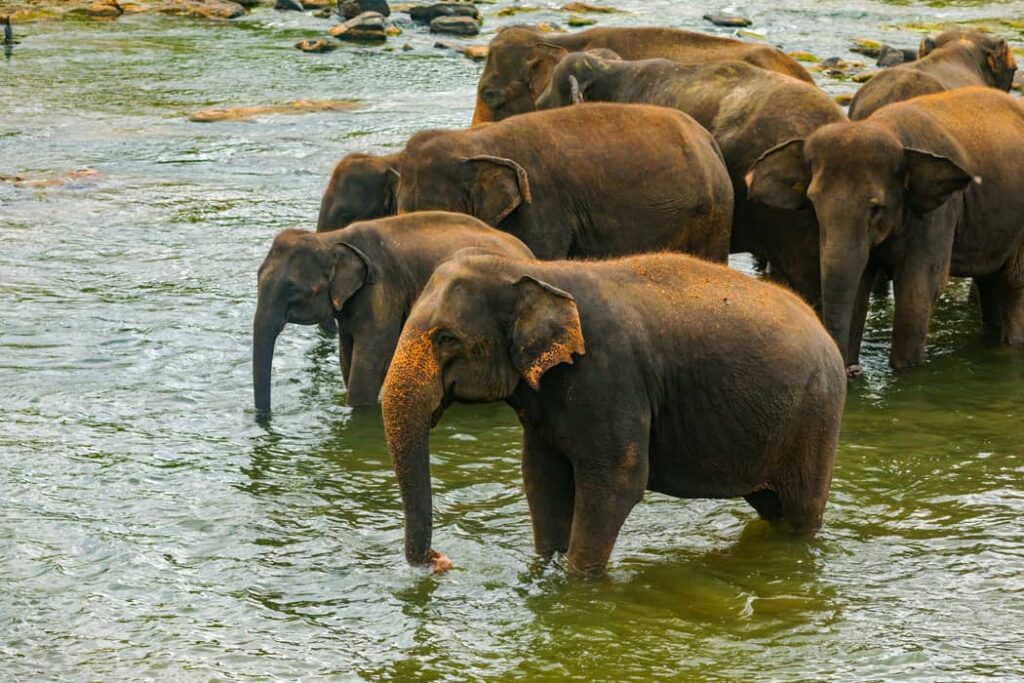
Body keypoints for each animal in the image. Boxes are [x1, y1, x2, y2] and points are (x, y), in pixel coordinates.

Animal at [253, 211, 534, 416]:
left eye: (292, 288)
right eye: (257, 277)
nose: (265, 417)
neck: (331, 239)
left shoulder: (381, 291)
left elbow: (369, 361)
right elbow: (347, 355)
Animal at [381, 251, 846, 575]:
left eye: (446, 338)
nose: (440, 560)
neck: (535, 270)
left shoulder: (610, 376)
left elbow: (616, 483)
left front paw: (579, 585)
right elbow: (542, 479)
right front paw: (546, 569)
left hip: (816, 416)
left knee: (801, 510)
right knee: (772, 505)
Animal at [747, 87, 1024, 375]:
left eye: (876, 208)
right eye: (813, 203)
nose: (852, 371)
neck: (890, 131)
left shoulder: (939, 216)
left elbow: (917, 291)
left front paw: (905, 373)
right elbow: (858, 287)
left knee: (1013, 284)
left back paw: (1011, 346)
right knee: (989, 280)